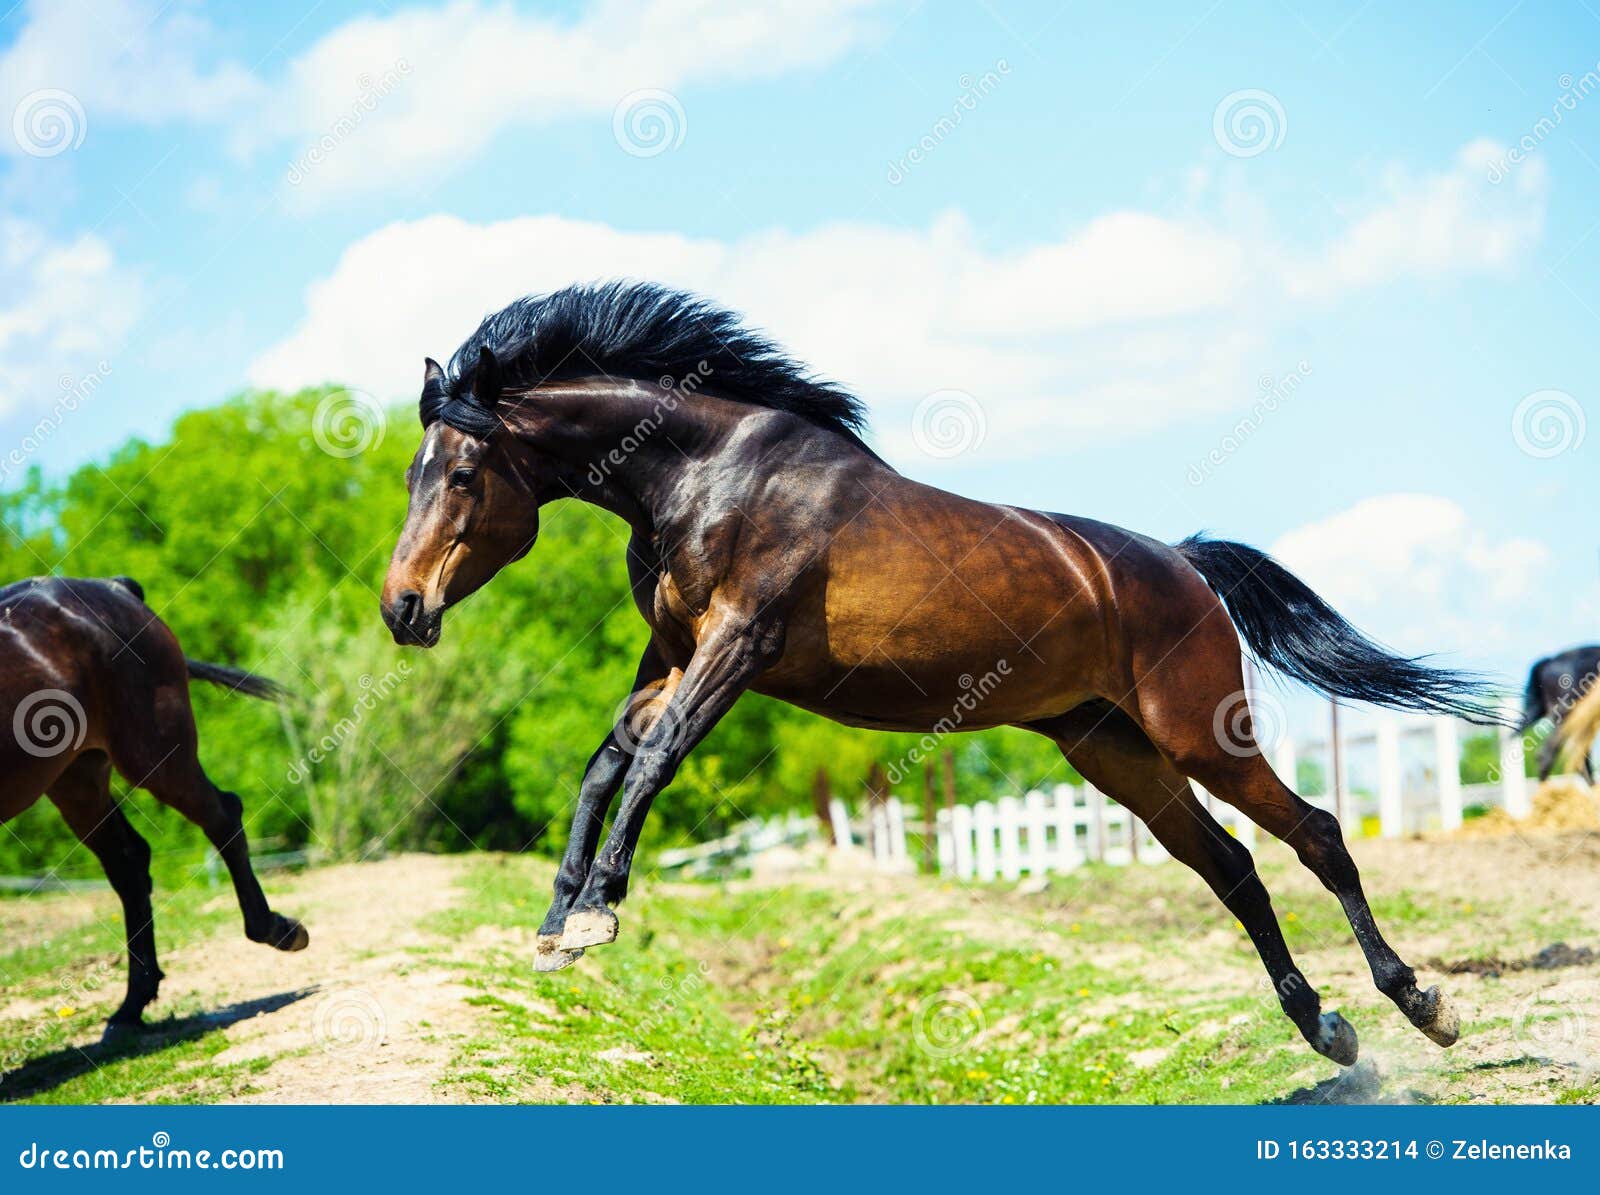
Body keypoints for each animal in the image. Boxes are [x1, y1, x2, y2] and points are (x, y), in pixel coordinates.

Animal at [0, 579, 308, 1036]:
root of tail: (115, 588)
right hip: (76, 777)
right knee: (129, 862)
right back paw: (131, 1006)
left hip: (154, 753)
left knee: (223, 817)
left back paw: (278, 929)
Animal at [384, 279, 1497, 1068]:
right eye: (411, 472)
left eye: (465, 472)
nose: (402, 608)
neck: (709, 474)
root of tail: (1181, 561)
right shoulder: (669, 655)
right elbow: (603, 767)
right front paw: (554, 923)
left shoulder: (736, 647)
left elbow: (652, 761)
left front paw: (596, 914)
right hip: (1110, 749)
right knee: (1232, 867)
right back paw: (1327, 1032)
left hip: (1195, 733)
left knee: (1317, 835)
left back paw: (1421, 1005)